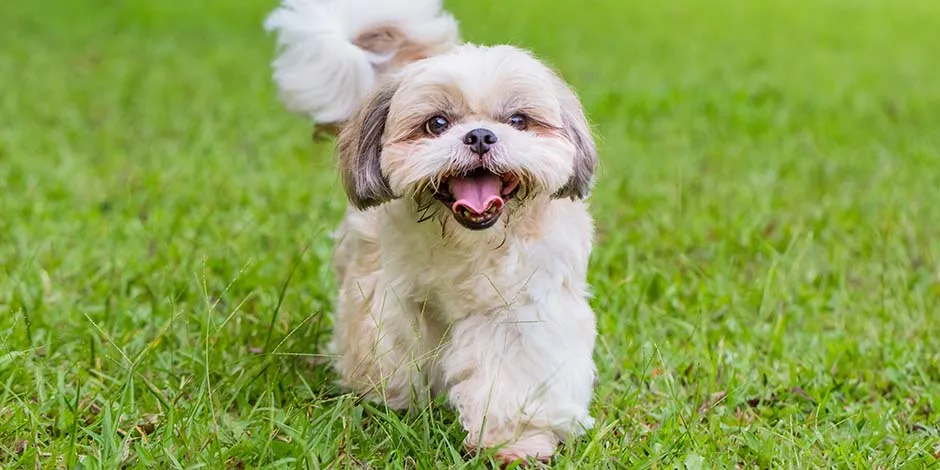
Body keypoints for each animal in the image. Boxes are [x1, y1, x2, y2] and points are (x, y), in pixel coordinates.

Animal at [264, 0, 600, 462]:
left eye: (518, 120)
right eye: (437, 124)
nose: (480, 135)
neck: (469, 242)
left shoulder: (523, 310)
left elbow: (516, 377)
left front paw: (514, 443)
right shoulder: (393, 297)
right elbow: (394, 352)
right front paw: (393, 405)